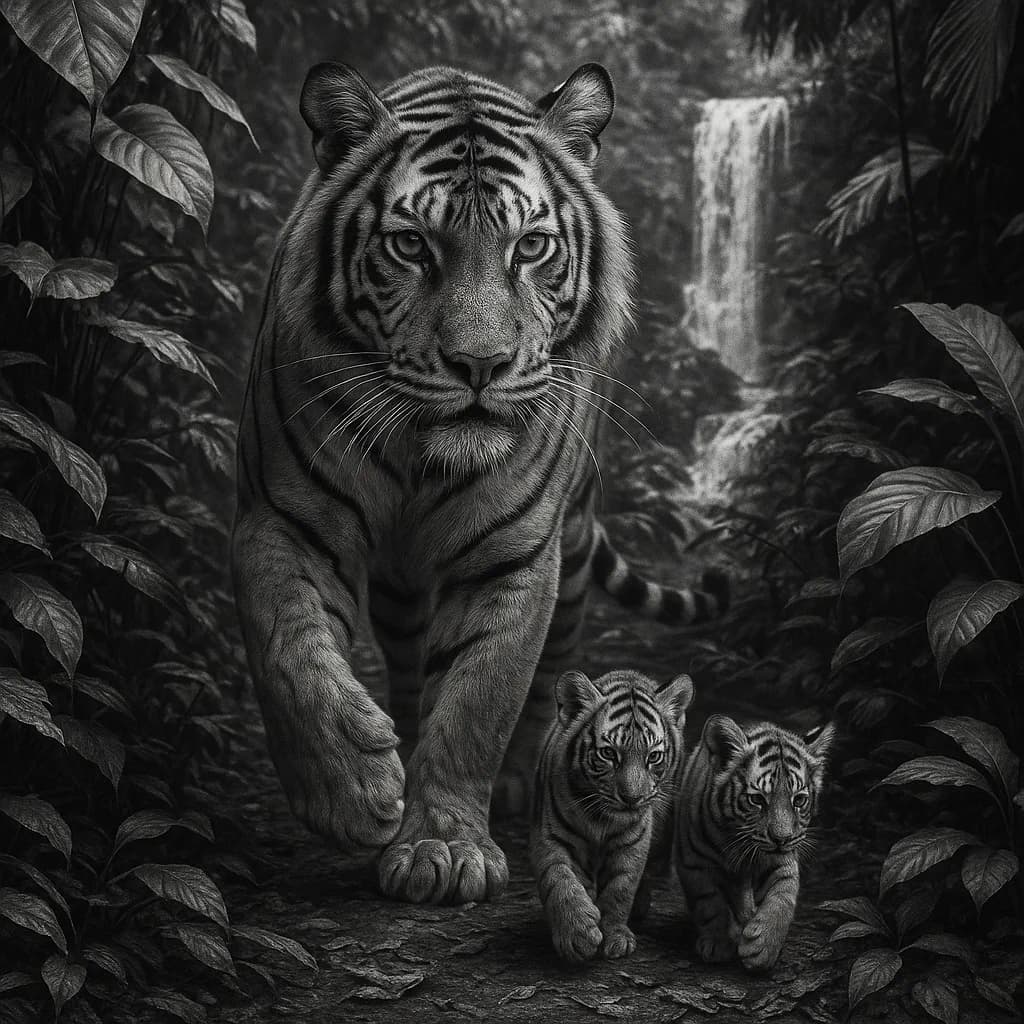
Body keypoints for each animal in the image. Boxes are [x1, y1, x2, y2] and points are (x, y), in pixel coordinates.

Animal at [231, 59, 729, 907]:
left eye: (531, 246)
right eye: (410, 245)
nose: (480, 365)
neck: (420, 456)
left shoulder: (514, 555)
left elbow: (479, 702)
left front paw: (443, 846)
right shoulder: (282, 516)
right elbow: (288, 652)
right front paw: (354, 793)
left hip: (569, 552)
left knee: (555, 669)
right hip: (399, 591)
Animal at [530, 669, 693, 962]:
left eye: (653, 757)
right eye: (608, 753)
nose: (632, 799)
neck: (600, 818)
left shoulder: (633, 842)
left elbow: (621, 889)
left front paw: (615, 936)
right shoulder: (549, 836)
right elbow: (560, 880)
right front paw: (577, 934)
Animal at [673, 715, 835, 971]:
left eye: (799, 800)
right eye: (757, 799)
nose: (781, 839)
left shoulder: (782, 863)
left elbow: (783, 899)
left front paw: (763, 948)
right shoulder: (694, 862)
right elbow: (710, 903)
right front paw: (718, 944)